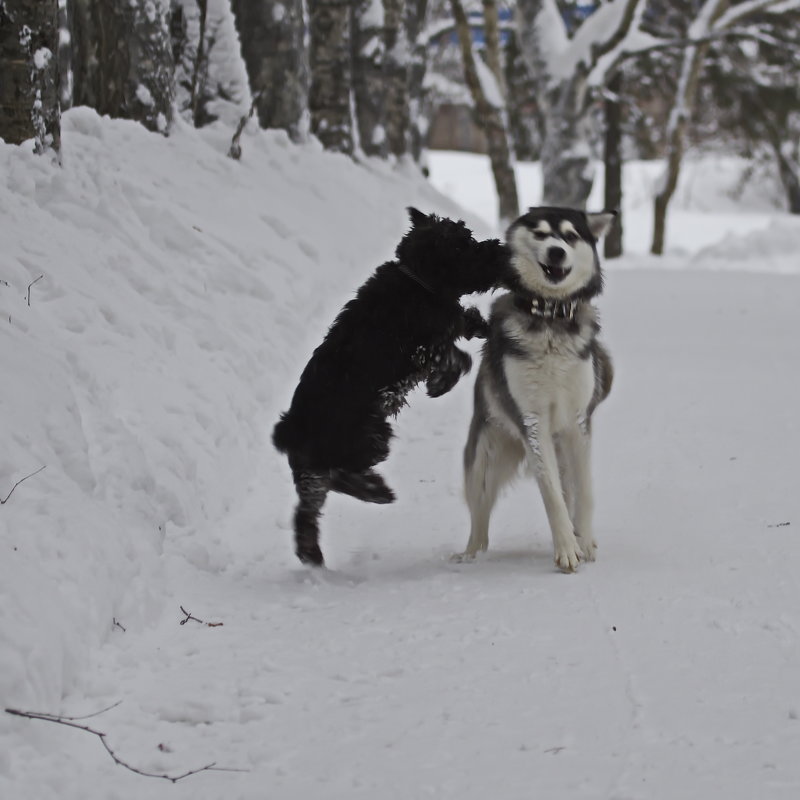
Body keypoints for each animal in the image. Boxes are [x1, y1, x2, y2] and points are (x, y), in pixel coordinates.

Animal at [274, 208, 506, 568]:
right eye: (466, 245)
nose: (500, 250)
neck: (418, 280)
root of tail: (291, 428)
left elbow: (462, 320)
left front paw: (481, 326)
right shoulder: (423, 348)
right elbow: (453, 354)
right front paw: (441, 384)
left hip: (319, 464)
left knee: (308, 508)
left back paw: (313, 550)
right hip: (369, 436)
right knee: (340, 477)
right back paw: (377, 490)